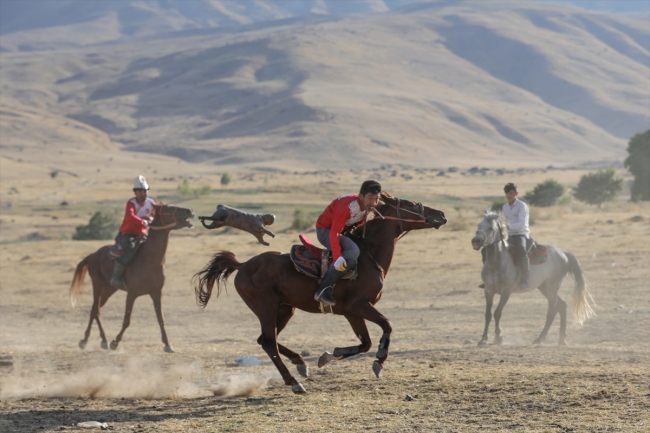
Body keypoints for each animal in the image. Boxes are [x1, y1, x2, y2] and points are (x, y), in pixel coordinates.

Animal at [70, 203, 194, 352]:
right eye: (168, 208)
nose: (189, 211)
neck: (149, 260)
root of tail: (93, 255)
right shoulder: (132, 294)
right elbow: (127, 320)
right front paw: (115, 343)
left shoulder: (156, 293)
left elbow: (161, 319)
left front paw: (167, 344)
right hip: (97, 284)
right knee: (96, 310)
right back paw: (99, 340)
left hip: (109, 289)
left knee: (94, 309)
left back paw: (90, 341)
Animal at [192, 192, 446, 392]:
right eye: (412, 204)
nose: (441, 215)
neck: (367, 255)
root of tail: (243, 265)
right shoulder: (359, 306)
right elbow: (386, 326)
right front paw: (379, 361)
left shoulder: (352, 313)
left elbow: (365, 343)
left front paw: (327, 356)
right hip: (266, 308)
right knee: (269, 343)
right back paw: (294, 382)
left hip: (285, 309)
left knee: (264, 340)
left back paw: (301, 365)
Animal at [468, 211, 596, 346]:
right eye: (479, 225)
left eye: (490, 228)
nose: (475, 241)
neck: (498, 263)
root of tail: (563, 253)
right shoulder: (488, 290)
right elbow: (487, 314)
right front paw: (483, 338)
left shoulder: (506, 292)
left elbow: (497, 313)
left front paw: (498, 337)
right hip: (543, 287)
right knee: (562, 306)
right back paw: (561, 339)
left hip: (552, 287)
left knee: (552, 309)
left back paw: (540, 338)